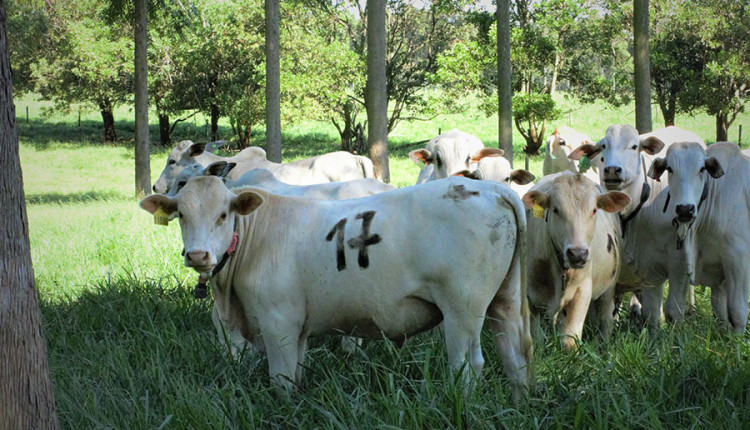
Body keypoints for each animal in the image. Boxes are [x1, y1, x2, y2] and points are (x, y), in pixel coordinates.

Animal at [141, 176, 536, 402]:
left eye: (224, 215)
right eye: (181, 215)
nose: (197, 254)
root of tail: (493, 188)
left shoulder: (278, 322)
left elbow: (282, 380)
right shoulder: (298, 327)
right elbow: (297, 372)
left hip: (462, 309)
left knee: (468, 365)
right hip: (506, 300)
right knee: (516, 357)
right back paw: (519, 404)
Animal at [524, 172, 636, 350]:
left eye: (594, 210)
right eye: (555, 209)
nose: (578, 254)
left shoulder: (582, 291)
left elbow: (570, 340)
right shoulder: (529, 295)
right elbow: (536, 337)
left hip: (609, 286)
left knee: (606, 318)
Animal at [648, 143, 748, 334]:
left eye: (702, 169)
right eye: (669, 169)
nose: (685, 209)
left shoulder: (738, 260)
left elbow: (737, 311)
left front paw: (737, 340)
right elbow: (720, 310)